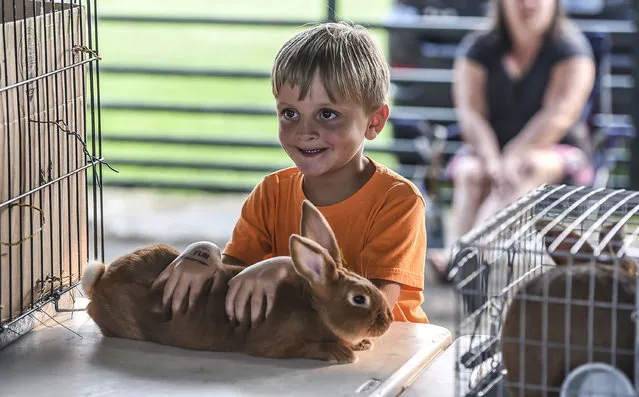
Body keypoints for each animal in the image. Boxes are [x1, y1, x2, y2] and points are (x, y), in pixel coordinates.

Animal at [82, 200, 392, 364]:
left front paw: (361, 345)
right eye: (359, 298)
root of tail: (100, 280)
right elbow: (305, 348)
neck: (315, 309)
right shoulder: (275, 345)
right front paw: (343, 353)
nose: (387, 320)